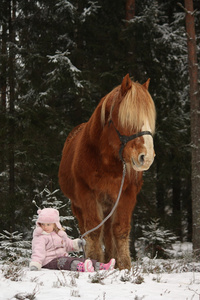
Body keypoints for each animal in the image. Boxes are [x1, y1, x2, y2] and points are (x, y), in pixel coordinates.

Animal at [58, 74, 155, 270]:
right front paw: (94, 261)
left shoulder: (126, 195)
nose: (146, 157)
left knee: (109, 233)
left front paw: (123, 266)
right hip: (77, 205)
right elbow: (94, 231)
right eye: (128, 118)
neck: (107, 162)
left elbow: (120, 230)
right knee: (86, 229)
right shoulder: (87, 195)